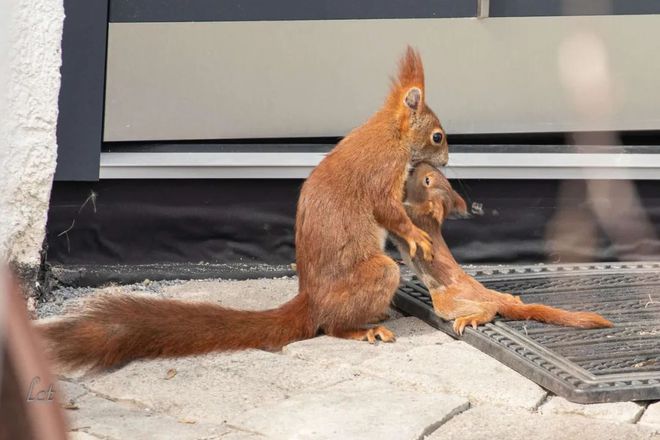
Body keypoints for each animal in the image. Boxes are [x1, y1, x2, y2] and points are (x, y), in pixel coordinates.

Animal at [37, 47, 448, 372]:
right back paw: (364, 328)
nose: (446, 159)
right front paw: (418, 236)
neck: (391, 133)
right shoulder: (381, 172)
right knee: (332, 326)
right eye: (438, 136)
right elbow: (389, 211)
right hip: (375, 276)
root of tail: (311, 302)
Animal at [392, 163, 612, 336]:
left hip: (447, 302)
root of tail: (482, 292)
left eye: (427, 180)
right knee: (505, 300)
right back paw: (514, 299)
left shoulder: (411, 218)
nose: (417, 166)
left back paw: (472, 317)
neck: (428, 218)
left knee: (489, 308)